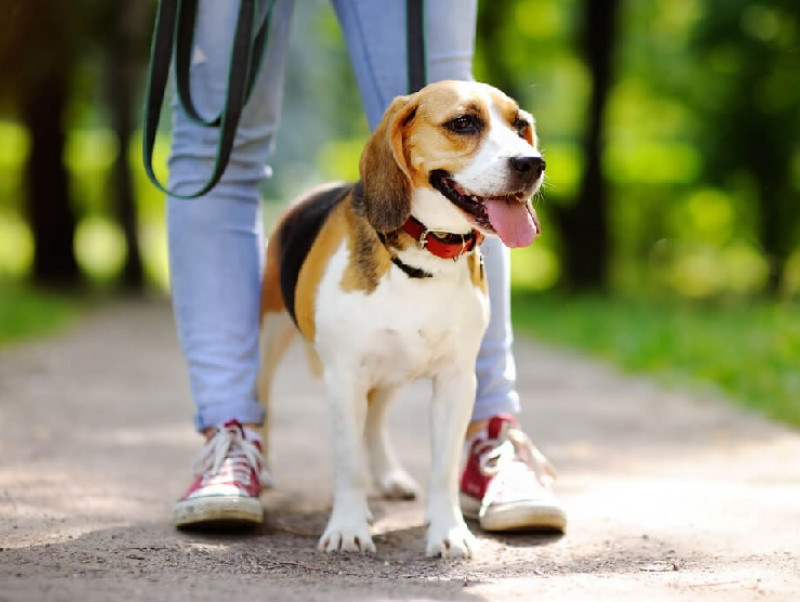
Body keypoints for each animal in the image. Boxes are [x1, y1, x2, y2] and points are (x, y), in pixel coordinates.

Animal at [260, 81, 548, 556]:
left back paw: (389, 478)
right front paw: (348, 527)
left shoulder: (456, 381)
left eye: (520, 125)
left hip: (392, 371)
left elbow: (443, 469)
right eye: (463, 122)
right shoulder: (344, 377)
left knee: (374, 422)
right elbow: (348, 465)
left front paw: (448, 531)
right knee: (261, 400)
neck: (424, 255)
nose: (532, 164)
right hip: (268, 337)